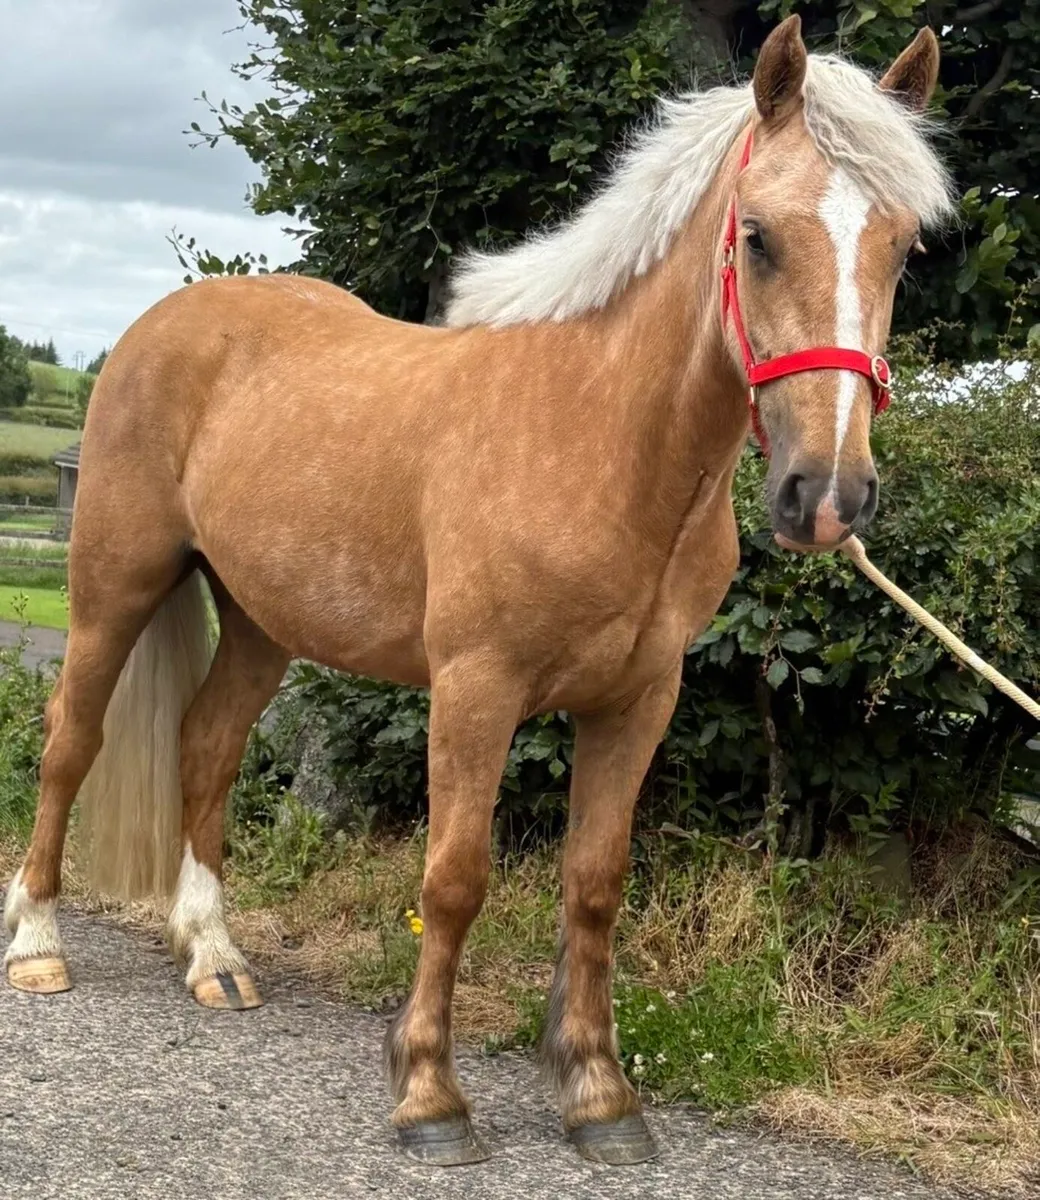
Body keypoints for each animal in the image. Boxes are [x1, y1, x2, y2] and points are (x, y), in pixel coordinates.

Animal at [4, 16, 951, 1167]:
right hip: (114, 584)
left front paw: (597, 1095)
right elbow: (453, 881)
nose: (827, 496)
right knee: (70, 740)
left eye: (903, 247)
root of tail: (166, 321)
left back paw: (213, 956)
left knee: (206, 745)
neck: (598, 440)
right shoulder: (475, 689)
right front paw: (428, 1095)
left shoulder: (637, 701)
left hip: (264, 621)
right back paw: (38, 944)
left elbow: (594, 885)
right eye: (760, 236)